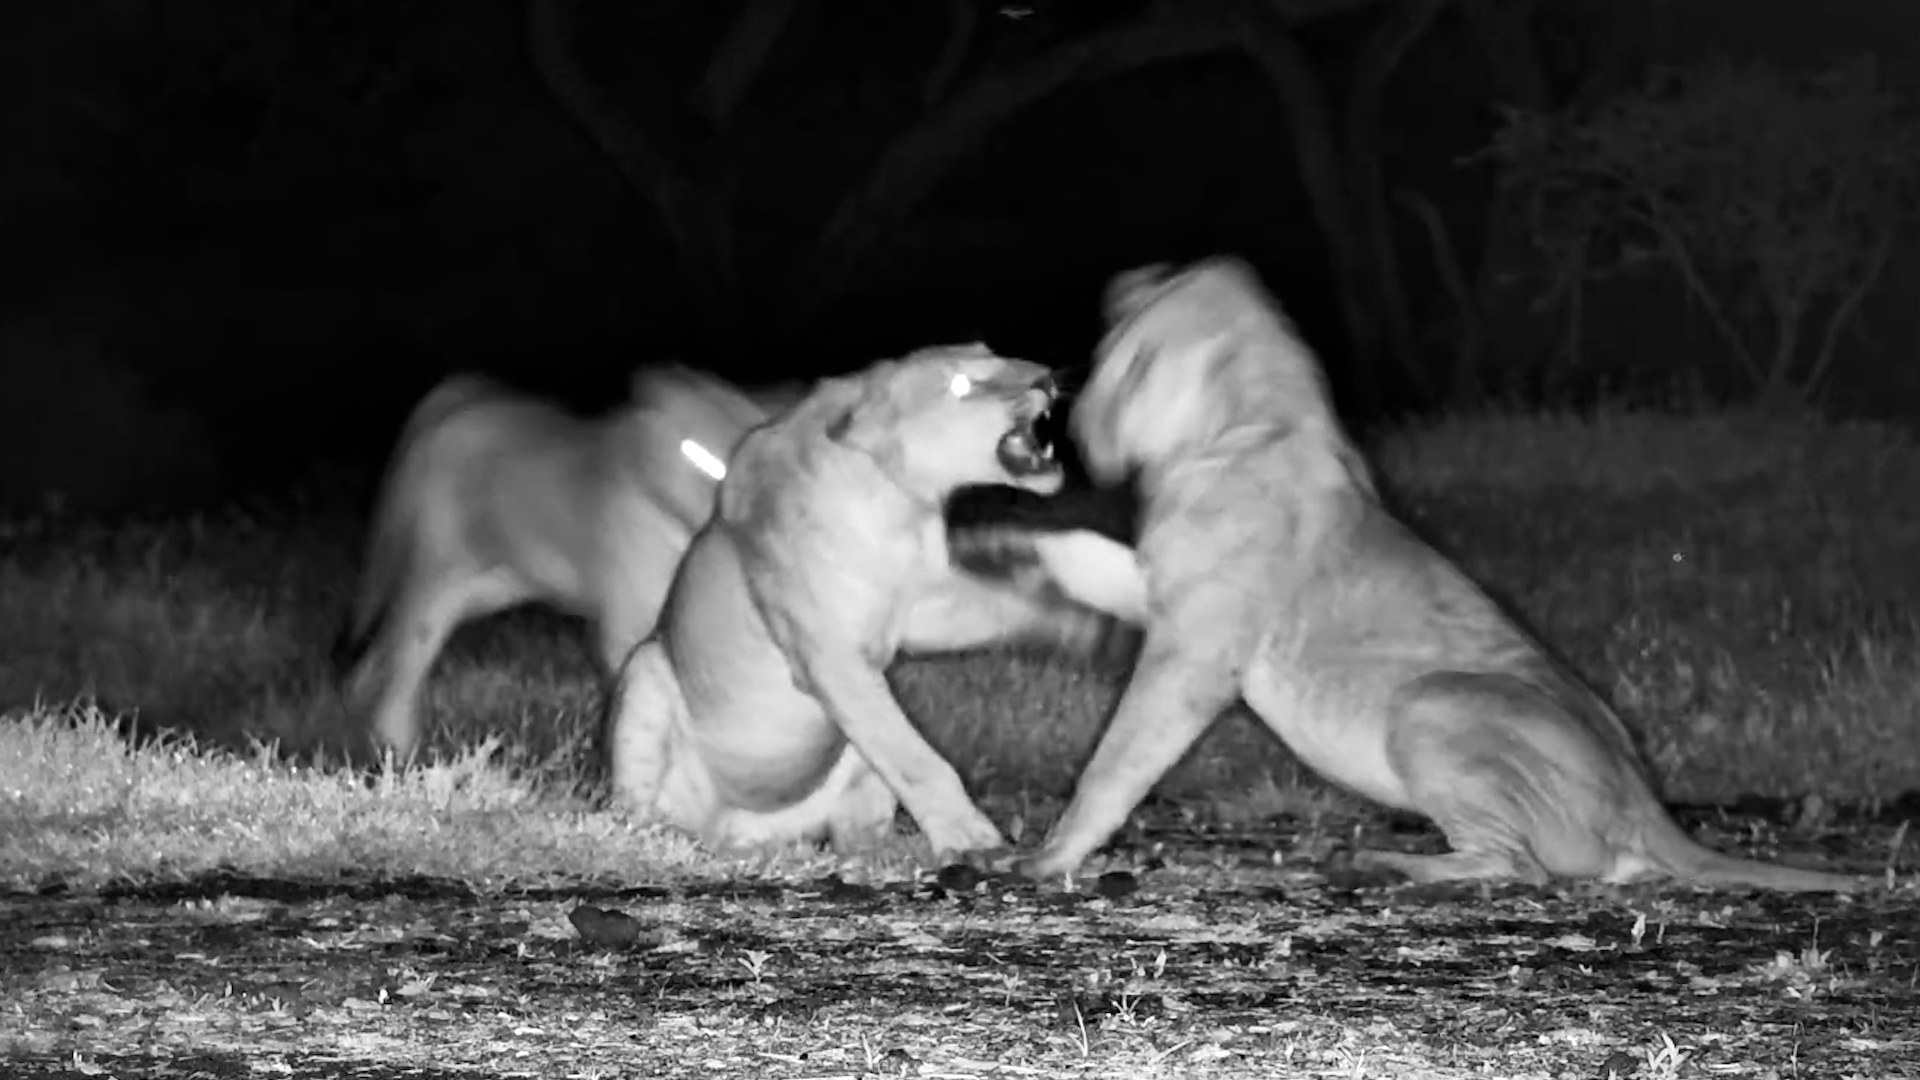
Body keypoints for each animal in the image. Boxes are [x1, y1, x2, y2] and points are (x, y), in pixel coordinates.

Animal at [335, 364, 804, 761]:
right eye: (698, 453)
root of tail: (456, 395)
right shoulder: (623, 627)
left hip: (487, 587)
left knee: (384, 650)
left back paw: (361, 711)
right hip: (439, 578)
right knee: (403, 655)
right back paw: (398, 747)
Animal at [603, 344, 1122, 859]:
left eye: (994, 354)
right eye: (961, 383)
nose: (1047, 378)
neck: (899, 508)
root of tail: (729, 833)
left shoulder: (924, 610)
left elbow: (1010, 608)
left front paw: (1089, 627)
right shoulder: (828, 657)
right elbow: (916, 758)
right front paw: (969, 838)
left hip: (847, 758)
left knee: (854, 821)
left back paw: (874, 850)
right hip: (646, 671)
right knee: (639, 805)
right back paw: (655, 834)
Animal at [998, 257, 1865, 892]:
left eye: (1136, 363)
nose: (1076, 425)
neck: (1241, 426)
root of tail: (1647, 805)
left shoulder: (1195, 651)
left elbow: (1116, 760)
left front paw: (1049, 857)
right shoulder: (1165, 589)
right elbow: (1087, 563)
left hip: (1432, 702)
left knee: (1519, 867)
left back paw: (1383, 863)